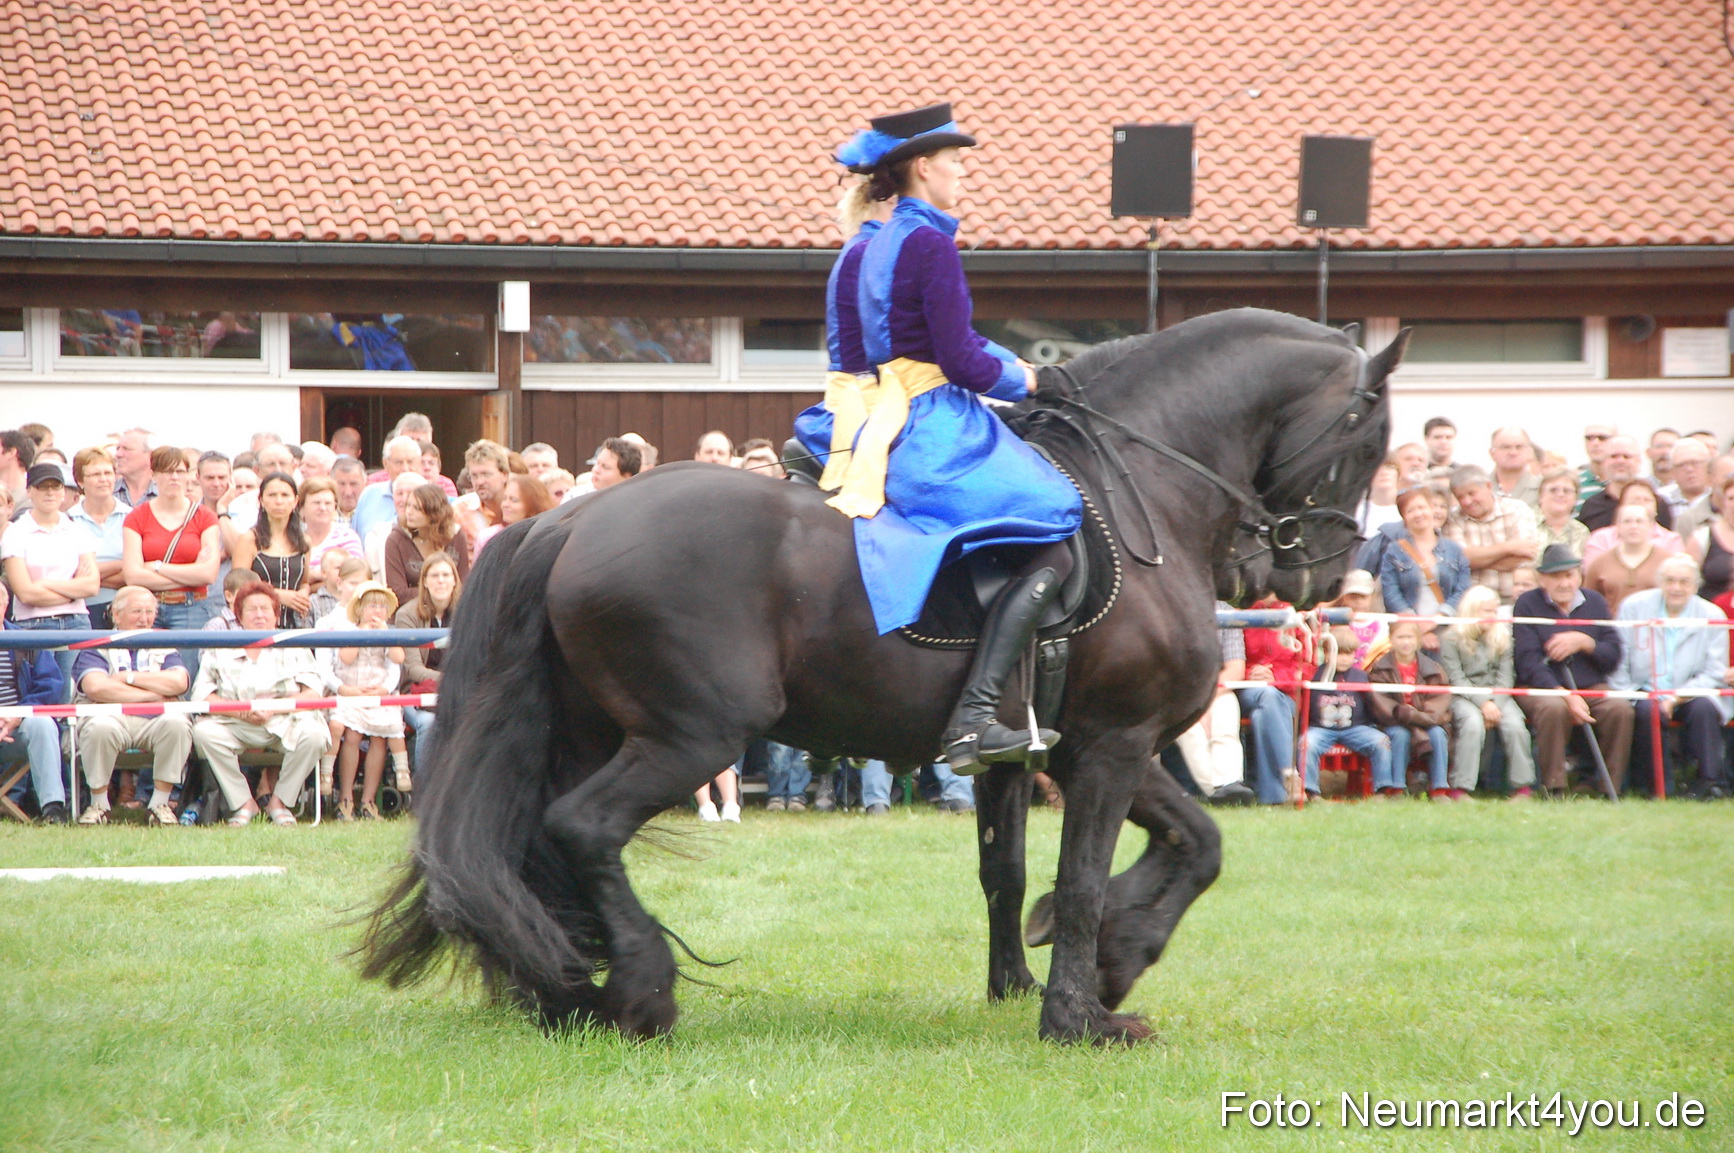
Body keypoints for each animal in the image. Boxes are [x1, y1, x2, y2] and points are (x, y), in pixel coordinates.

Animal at [358, 308, 1405, 1045]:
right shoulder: (1112, 745)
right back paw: (641, 990)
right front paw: (1081, 1011)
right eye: (1367, 443)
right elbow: (1087, 877)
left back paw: (570, 989)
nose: (1309, 579)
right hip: (691, 737)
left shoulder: (1072, 749)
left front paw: (1078, 965)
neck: (1142, 487)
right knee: (582, 828)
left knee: (543, 842)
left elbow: (1155, 848)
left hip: (591, 732)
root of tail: (568, 518)